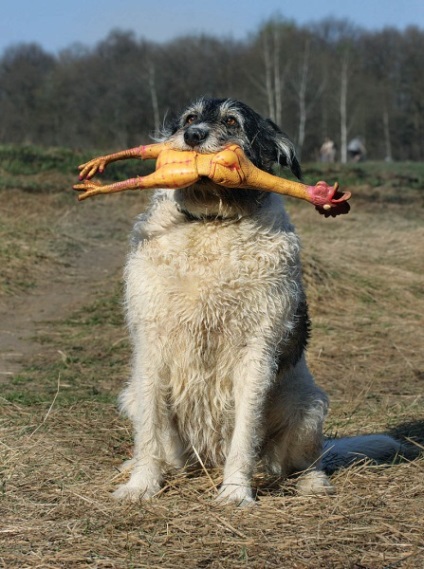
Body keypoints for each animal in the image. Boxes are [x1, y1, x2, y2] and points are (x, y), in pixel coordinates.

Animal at [112, 100, 408, 504]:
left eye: (232, 121)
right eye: (189, 118)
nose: (193, 136)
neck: (212, 222)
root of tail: (209, 459)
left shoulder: (256, 351)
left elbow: (245, 433)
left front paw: (236, 493)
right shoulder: (151, 342)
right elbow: (150, 431)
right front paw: (141, 485)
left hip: (308, 407)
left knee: (308, 460)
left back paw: (312, 483)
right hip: (133, 397)